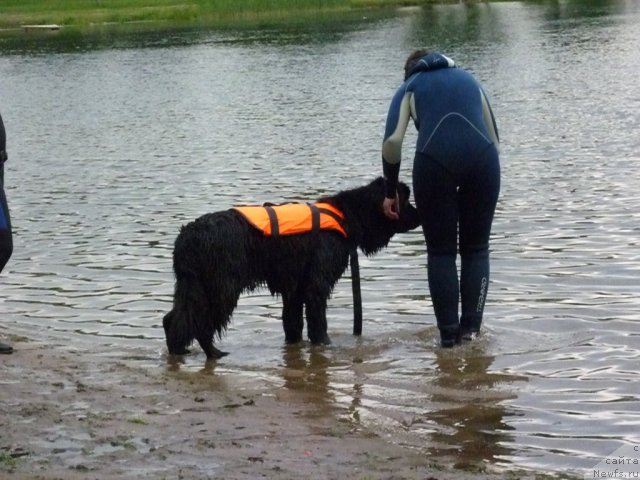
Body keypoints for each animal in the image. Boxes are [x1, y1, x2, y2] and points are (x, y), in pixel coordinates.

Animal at [162, 178, 420, 358]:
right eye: (406, 200)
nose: (419, 214)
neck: (346, 215)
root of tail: (186, 237)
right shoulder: (316, 284)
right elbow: (318, 323)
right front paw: (325, 345)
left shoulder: (294, 288)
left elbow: (293, 323)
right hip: (222, 288)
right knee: (201, 322)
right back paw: (213, 353)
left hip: (193, 285)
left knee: (173, 318)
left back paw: (178, 351)